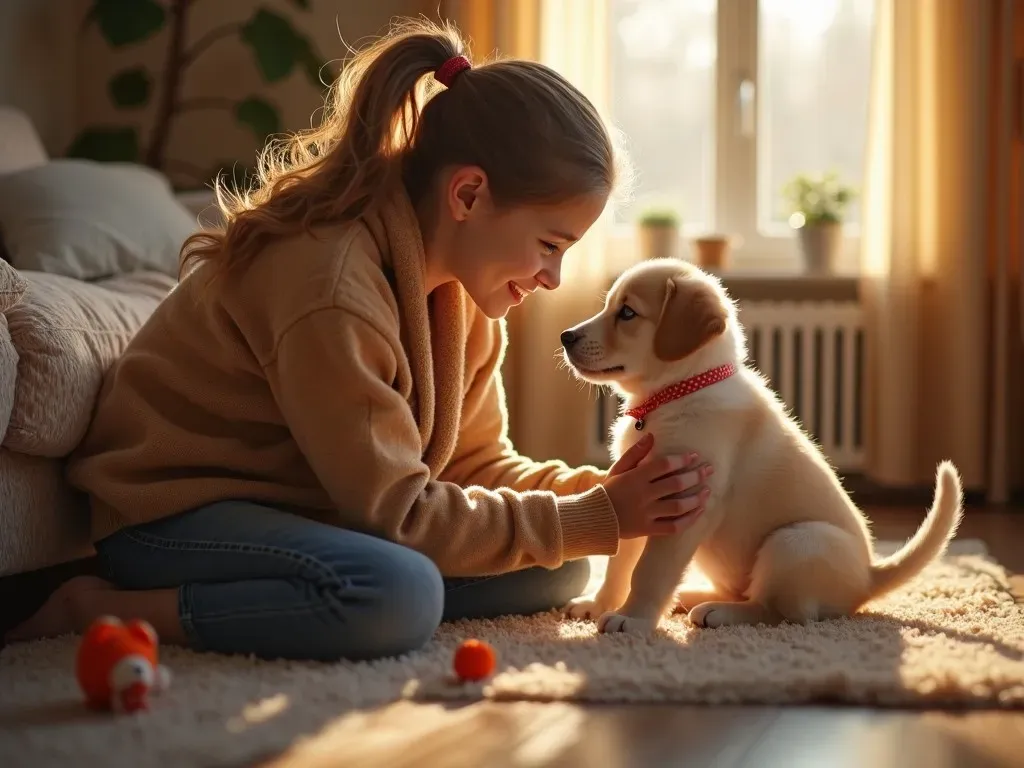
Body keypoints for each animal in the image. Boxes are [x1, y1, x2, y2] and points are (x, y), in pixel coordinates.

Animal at [557, 260, 962, 638]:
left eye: (627, 313)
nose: (565, 336)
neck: (677, 393)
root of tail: (869, 577)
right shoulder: (641, 494)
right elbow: (619, 562)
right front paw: (600, 604)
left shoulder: (685, 503)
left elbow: (649, 570)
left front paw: (633, 618)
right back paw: (693, 596)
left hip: (795, 542)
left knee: (781, 612)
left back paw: (718, 612)